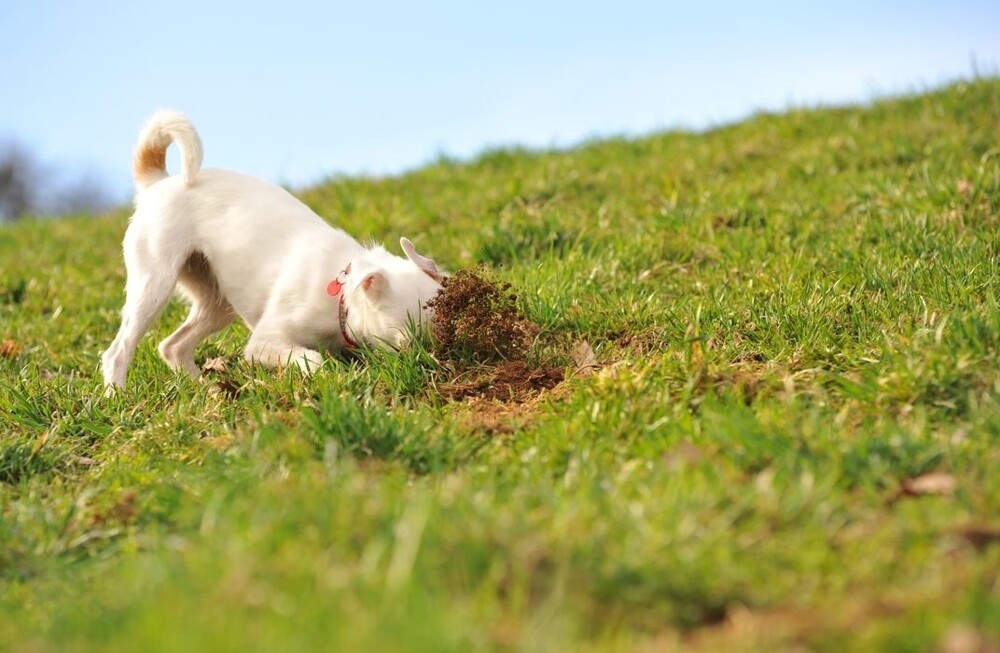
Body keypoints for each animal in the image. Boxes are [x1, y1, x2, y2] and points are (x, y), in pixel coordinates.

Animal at [103, 109, 444, 390]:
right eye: (406, 342)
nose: (436, 363)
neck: (341, 299)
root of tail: (158, 182)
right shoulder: (262, 344)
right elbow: (312, 358)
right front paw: (324, 374)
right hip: (154, 285)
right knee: (118, 351)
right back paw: (117, 395)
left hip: (216, 301)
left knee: (172, 346)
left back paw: (203, 388)